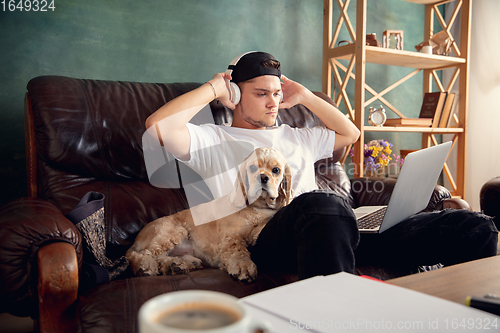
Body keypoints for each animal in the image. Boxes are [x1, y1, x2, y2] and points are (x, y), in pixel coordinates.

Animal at [126, 148, 292, 280]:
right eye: (252, 168)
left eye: (276, 170)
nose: (262, 177)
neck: (257, 206)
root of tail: (135, 240)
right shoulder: (230, 237)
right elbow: (238, 250)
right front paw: (243, 266)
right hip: (173, 232)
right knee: (141, 255)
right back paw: (146, 267)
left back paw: (177, 265)